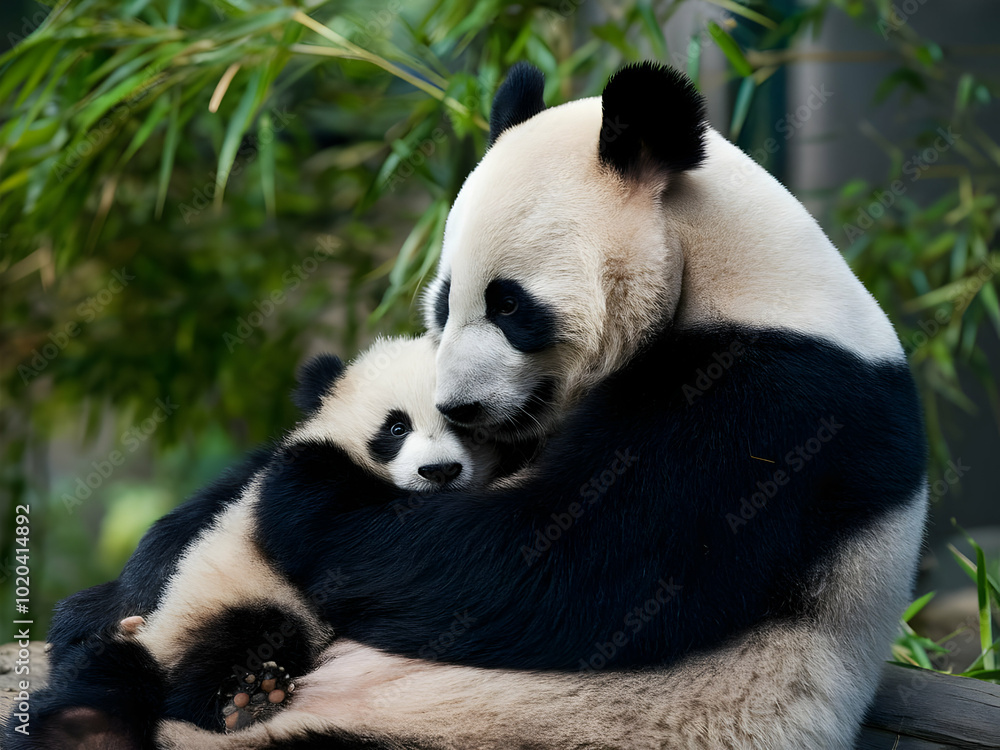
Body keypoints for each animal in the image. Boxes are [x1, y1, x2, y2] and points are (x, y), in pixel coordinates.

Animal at [15, 61, 928, 750]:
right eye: (444, 299)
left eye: (512, 306)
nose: (457, 410)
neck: (729, 267)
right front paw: (133, 575)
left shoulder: (771, 403)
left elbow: (560, 567)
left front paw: (306, 490)